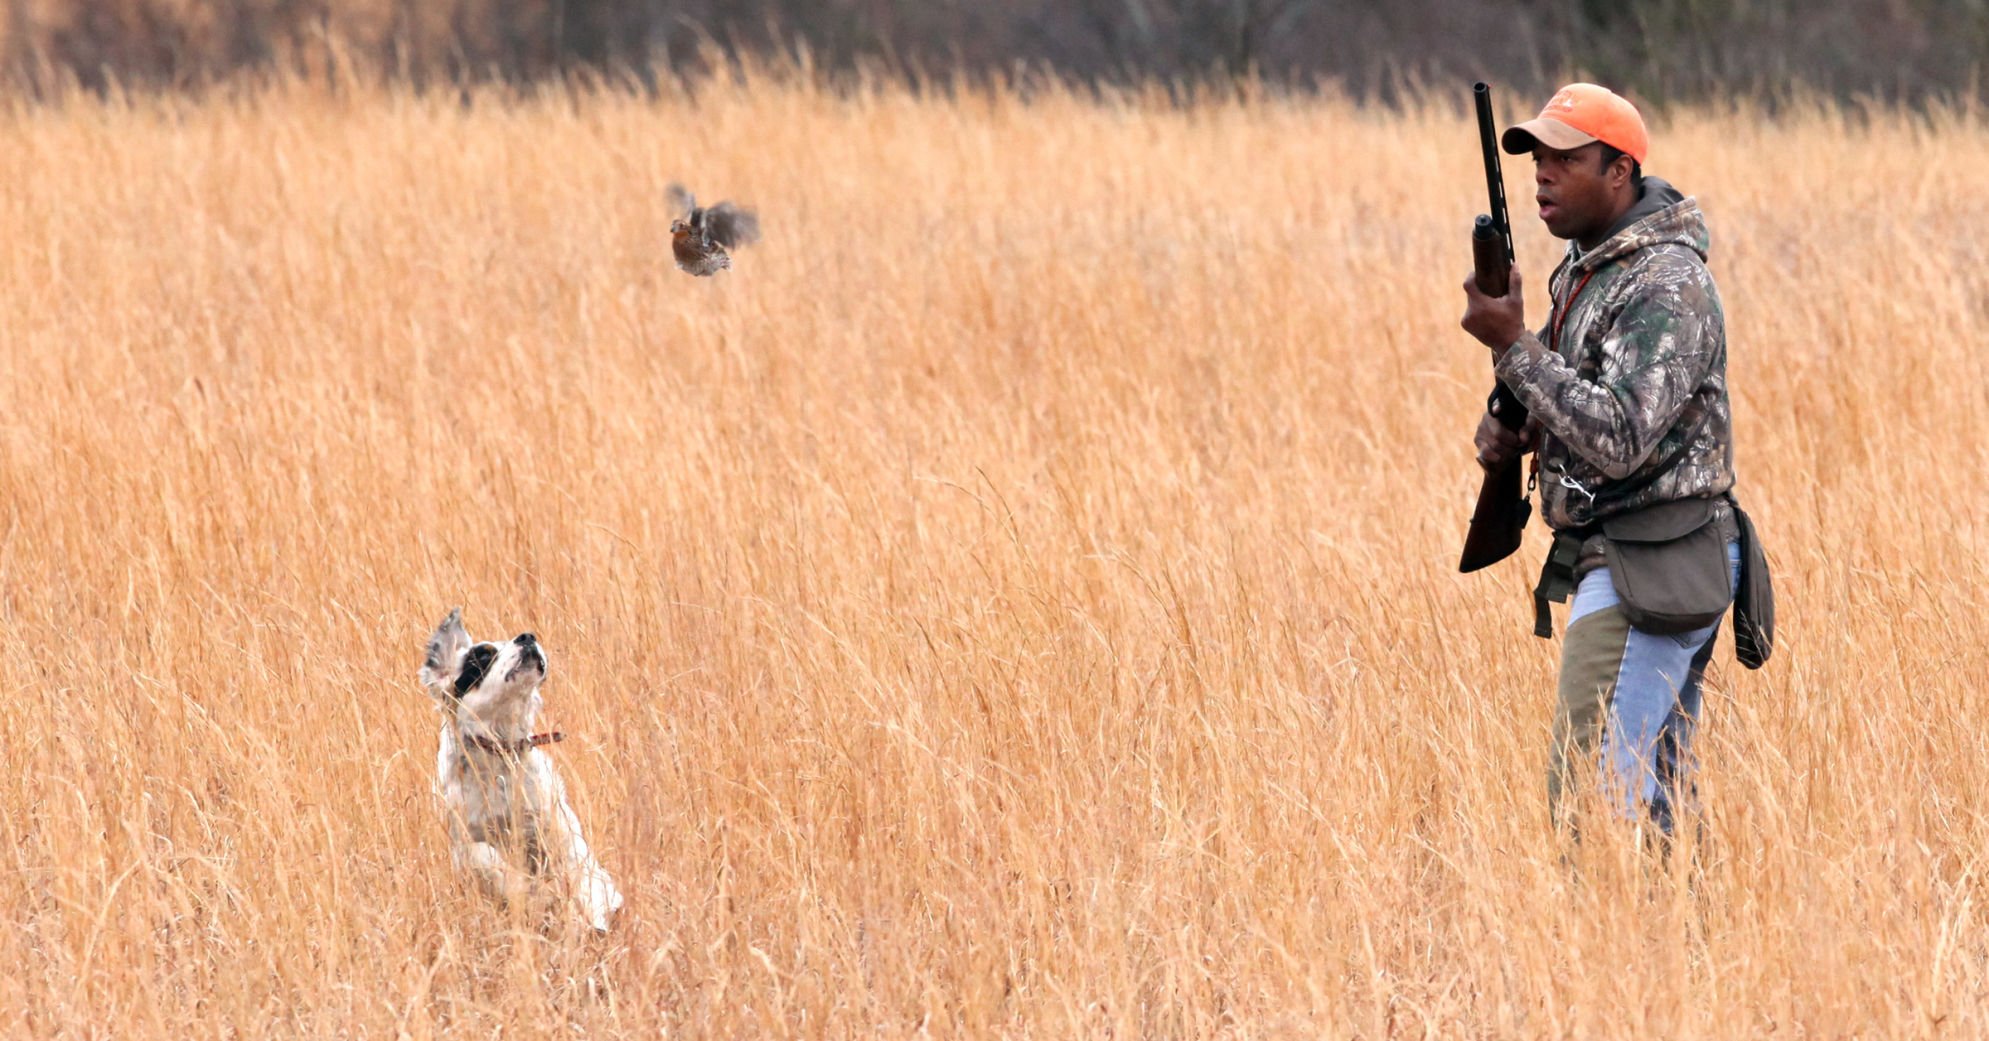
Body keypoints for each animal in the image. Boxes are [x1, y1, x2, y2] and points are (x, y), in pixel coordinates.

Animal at [423, 605, 624, 931]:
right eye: (483, 656)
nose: (527, 636)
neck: (501, 754)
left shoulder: (558, 828)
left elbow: (581, 874)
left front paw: (592, 918)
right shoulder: (464, 840)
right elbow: (486, 857)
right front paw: (525, 890)